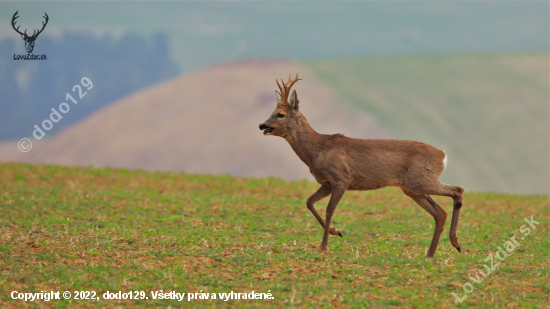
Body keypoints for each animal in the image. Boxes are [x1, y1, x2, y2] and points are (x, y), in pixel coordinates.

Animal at [260, 73, 466, 256]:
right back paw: (432, 254)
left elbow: (329, 209)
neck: (318, 149)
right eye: (272, 112)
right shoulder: (326, 183)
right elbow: (309, 201)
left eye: (280, 114)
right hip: (412, 188)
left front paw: (323, 246)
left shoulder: (341, 178)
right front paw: (336, 232)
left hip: (420, 180)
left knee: (458, 190)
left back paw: (455, 243)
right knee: (440, 213)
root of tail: (443, 155)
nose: (262, 125)